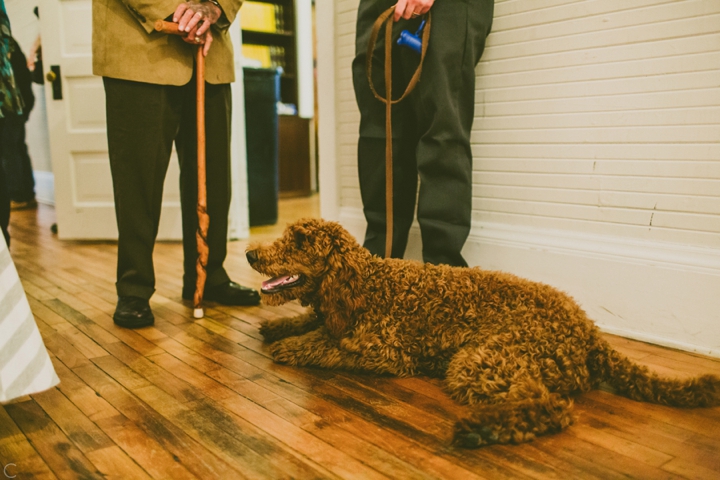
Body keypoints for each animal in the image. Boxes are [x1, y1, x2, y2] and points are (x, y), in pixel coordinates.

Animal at [246, 218, 720, 446]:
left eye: (299, 242)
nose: (250, 254)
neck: (367, 283)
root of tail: (586, 329)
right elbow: (313, 322)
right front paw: (280, 326)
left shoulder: (386, 352)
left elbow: (327, 344)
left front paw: (291, 345)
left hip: (483, 359)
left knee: (553, 408)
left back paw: (480, 430)